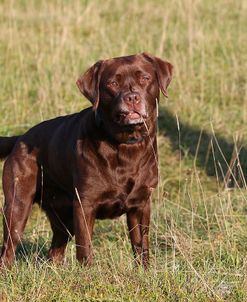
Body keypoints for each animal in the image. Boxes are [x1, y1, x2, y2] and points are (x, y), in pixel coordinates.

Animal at [0, 53, 173, 268]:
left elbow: (141, 245)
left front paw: (144, 271)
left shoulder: (140, 204)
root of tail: (20, 138)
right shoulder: (85, 205)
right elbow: (85, 246)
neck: (125, 144)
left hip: (63, 215)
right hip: (18, 205)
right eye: (113, 83)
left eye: (145, 78)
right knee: (8, 248)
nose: (132, 97)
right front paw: (87, 272)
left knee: (55, 249)